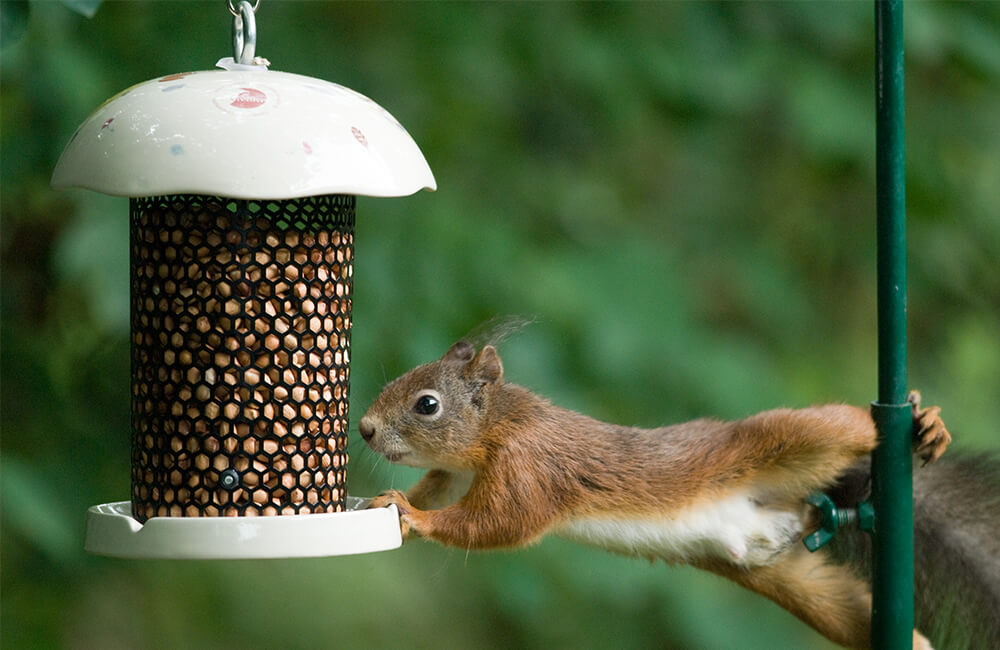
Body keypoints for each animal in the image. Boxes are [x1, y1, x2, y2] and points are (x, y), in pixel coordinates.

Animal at [362, 340, 997, 650]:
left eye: (426, 404)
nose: (365, 429)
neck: (498, 426)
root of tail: (800, 512)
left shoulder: (532, 469)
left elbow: (500, 524)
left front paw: (411, 516)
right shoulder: (457, 469)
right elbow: (440, 484)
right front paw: (385, 500)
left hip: (791, 438)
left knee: (847, 426)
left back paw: (925, 428)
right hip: (796, 585)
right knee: (849, 612)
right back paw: (916, 644)